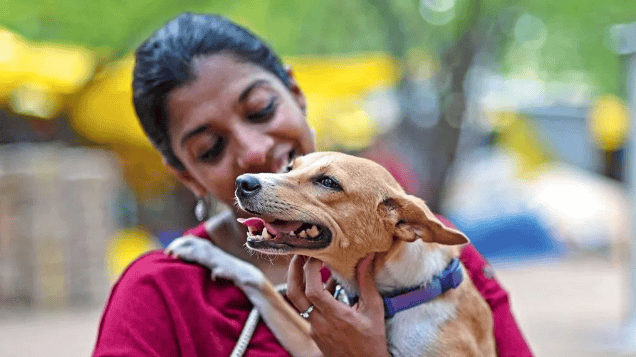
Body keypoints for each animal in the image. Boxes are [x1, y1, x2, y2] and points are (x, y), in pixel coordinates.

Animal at [169, 152, 496, 354]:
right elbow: (259, 281)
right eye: (290, 167)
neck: (399, 294)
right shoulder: (312, 346)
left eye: (328, 182)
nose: (243, 182)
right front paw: (204, 250)